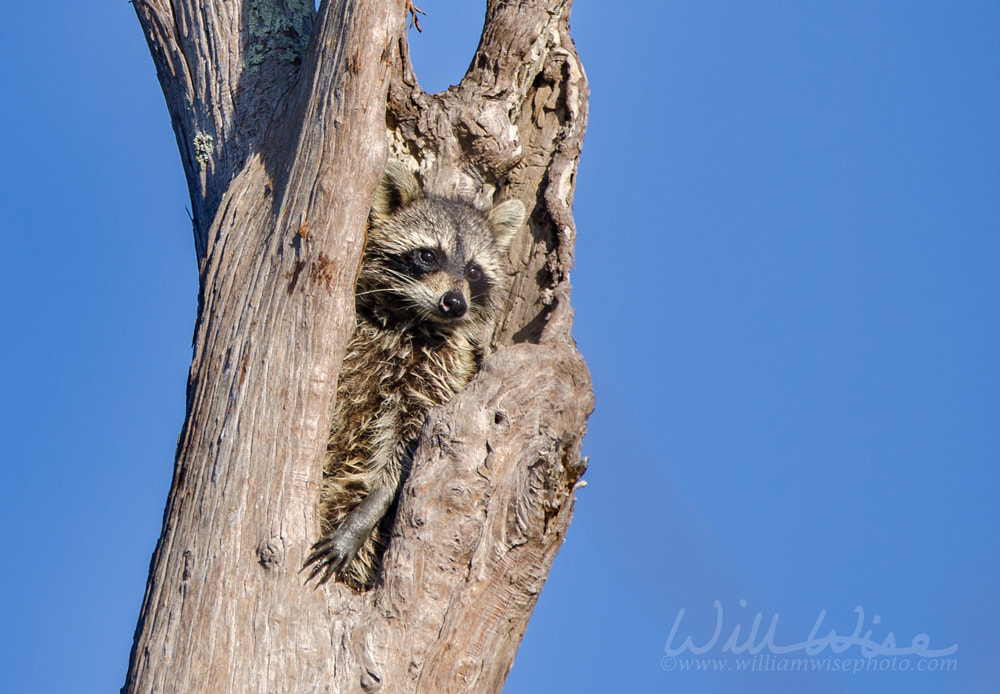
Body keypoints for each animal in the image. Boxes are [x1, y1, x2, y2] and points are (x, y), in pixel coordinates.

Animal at [302, 160, 524, 588]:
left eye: (474, 271)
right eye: (427, 255)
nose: (454, 303)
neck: (408, 321)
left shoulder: (440, 375)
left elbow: (404, 455)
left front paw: (365, 514)